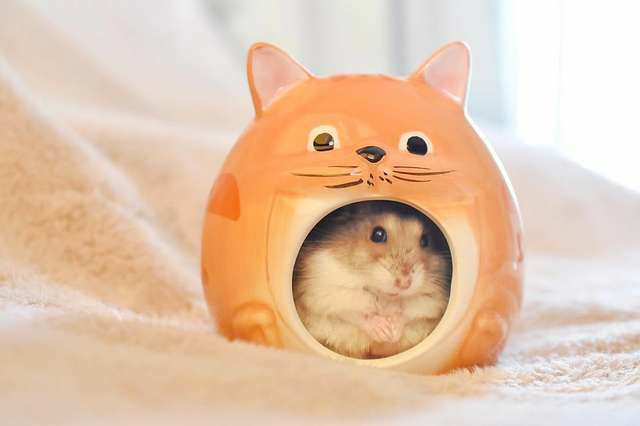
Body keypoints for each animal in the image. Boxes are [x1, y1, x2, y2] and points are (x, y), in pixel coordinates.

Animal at [293, 201, 452, 359]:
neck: (382, 295)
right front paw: (383, 330)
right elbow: (352, 313)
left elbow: (410, 312)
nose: (404, 283)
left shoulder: (432, 301)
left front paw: (393, 333)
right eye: (378, 234)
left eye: (425, 240)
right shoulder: (323, 291)